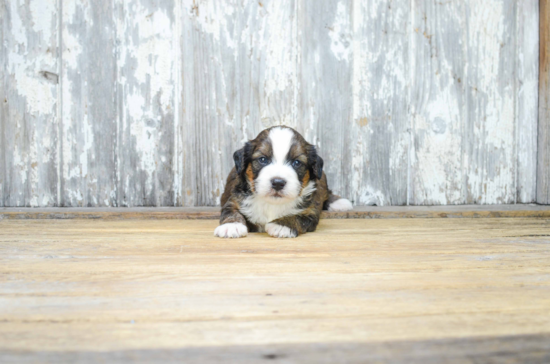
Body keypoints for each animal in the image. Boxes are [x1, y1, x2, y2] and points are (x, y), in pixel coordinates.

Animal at [216, 126, 354, 239]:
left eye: (297, 162)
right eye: (262, 159)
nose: (278, 183)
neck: (272, 204)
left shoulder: (310, 212)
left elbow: (298, 217)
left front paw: (282, 225)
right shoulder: (235, 199)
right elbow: (231, 211)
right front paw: (231, 226)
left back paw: (339, 202)